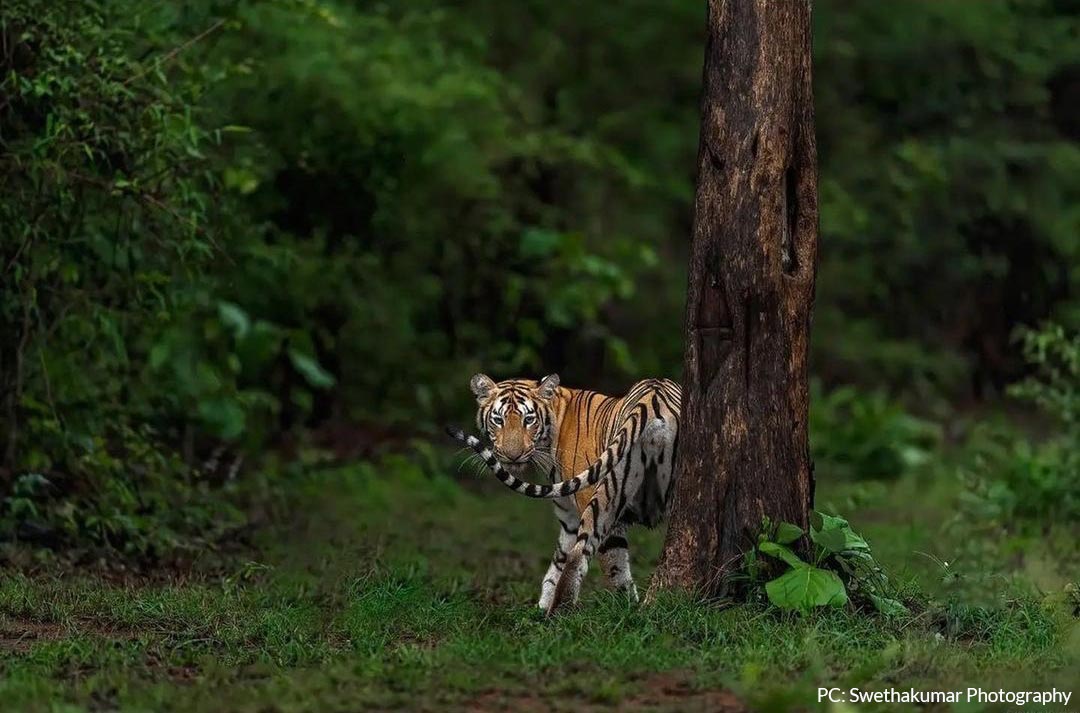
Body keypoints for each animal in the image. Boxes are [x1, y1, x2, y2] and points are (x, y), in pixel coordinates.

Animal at [444, 375, 678, 613]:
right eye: (498, 420)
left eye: (529, 419)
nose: (513, 455)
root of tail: (652, 399)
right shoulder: (569, 519)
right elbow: (559, 560)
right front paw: (542, 605)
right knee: (581, 556)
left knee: (590, 558)